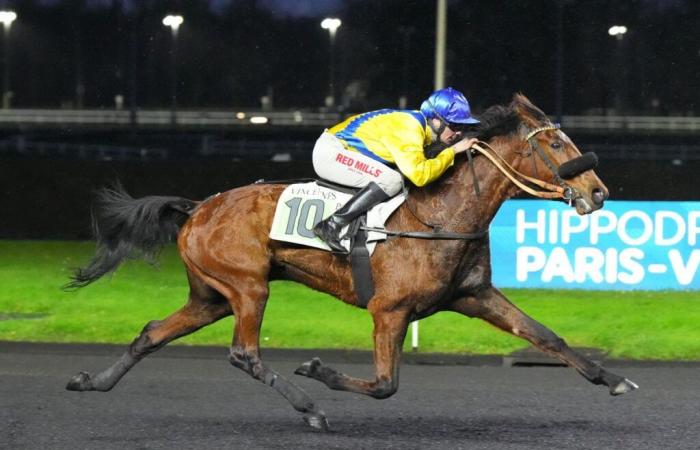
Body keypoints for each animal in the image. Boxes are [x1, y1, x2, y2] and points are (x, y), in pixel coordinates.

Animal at [67, 94, 640, 428]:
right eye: (556, 142)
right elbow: (386, 385)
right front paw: (319, 369)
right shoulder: (389, 310)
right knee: (244, 354)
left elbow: (546, 336)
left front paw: (614, 379)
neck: (440, 213)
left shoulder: (473, 295)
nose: (599, 191)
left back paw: (92, 382)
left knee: (152, 332)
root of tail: (197, 207)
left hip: (212, 296)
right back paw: (310, 408)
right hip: (249, 288)